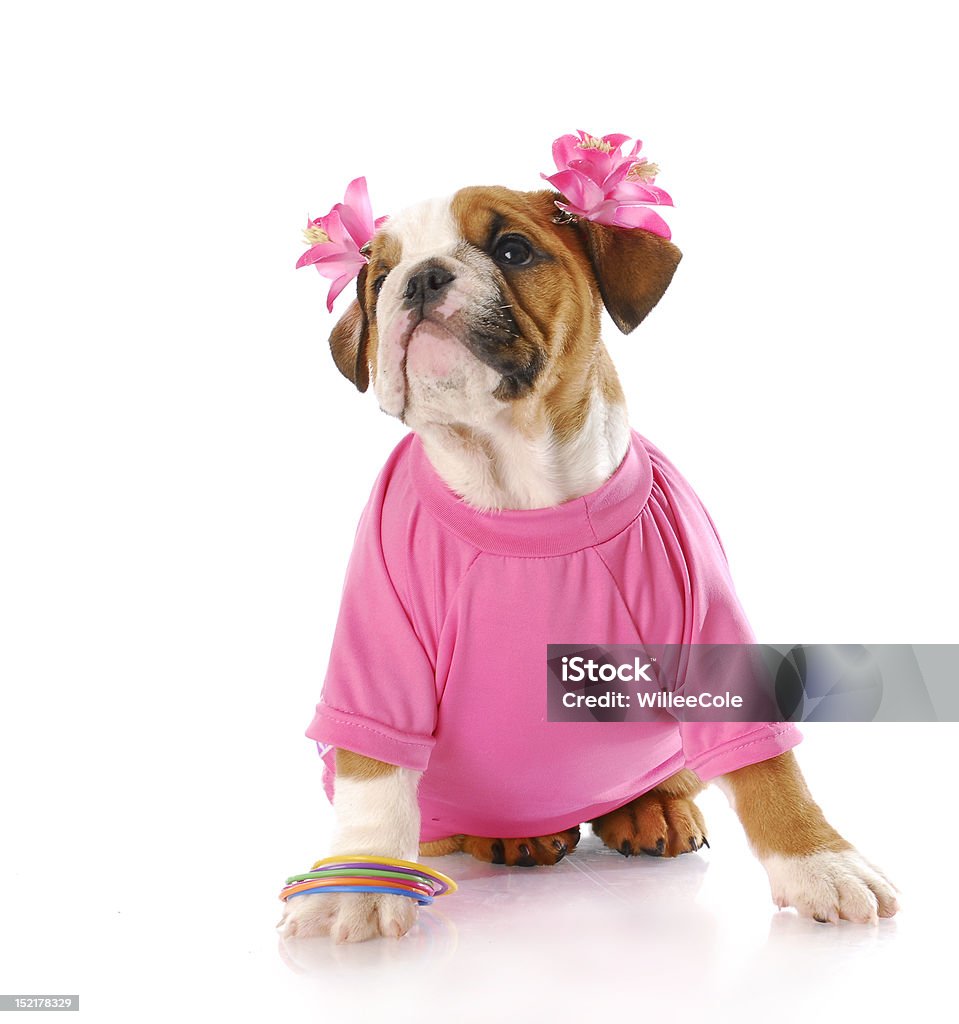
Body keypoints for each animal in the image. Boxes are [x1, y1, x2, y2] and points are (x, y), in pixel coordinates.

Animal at [278, 186, 896, 942]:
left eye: (512, 249)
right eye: (380, 277)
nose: (419, 279)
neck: (516, 484)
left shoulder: (711, 630)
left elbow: (768, 766)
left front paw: (819, 861)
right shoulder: (376, 650)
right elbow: (374, 775)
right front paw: (360, 882)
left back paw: (651, 811)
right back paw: (512, 835)